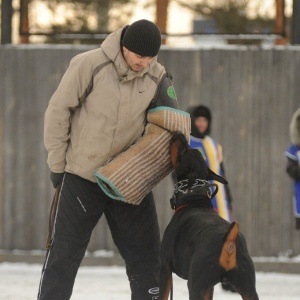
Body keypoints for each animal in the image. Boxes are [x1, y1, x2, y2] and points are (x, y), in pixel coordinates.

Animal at [159, 132, 260, 300]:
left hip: (196, 284)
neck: (195, 199)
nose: (178, 134)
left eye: (184, 152)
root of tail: (228, 239)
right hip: (247, 285)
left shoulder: (165, 266)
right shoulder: (209, 288)